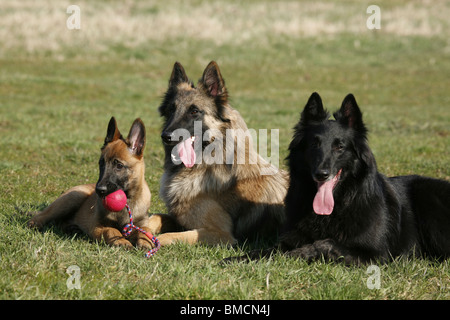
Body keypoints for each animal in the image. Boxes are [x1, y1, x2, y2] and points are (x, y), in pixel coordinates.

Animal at [29, 117, 155, 250]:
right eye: (101, 164)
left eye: (119, 166)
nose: (99, 190)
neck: (127, 202)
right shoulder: (96, 226)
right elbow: (111, 230)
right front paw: (122, 241)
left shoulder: (140, 223)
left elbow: (146, 230)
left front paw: (146, 241)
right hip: (73, 197)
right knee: (43, 216)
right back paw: (34, 224)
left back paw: (73, 228)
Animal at [227, 92, 450, 264]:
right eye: (314, 144)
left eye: (339, 147)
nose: (321, 174)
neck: (339, 205)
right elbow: (264, 251)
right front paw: (236, 259)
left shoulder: (376, 256)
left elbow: (324, 244)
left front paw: (298, 253)